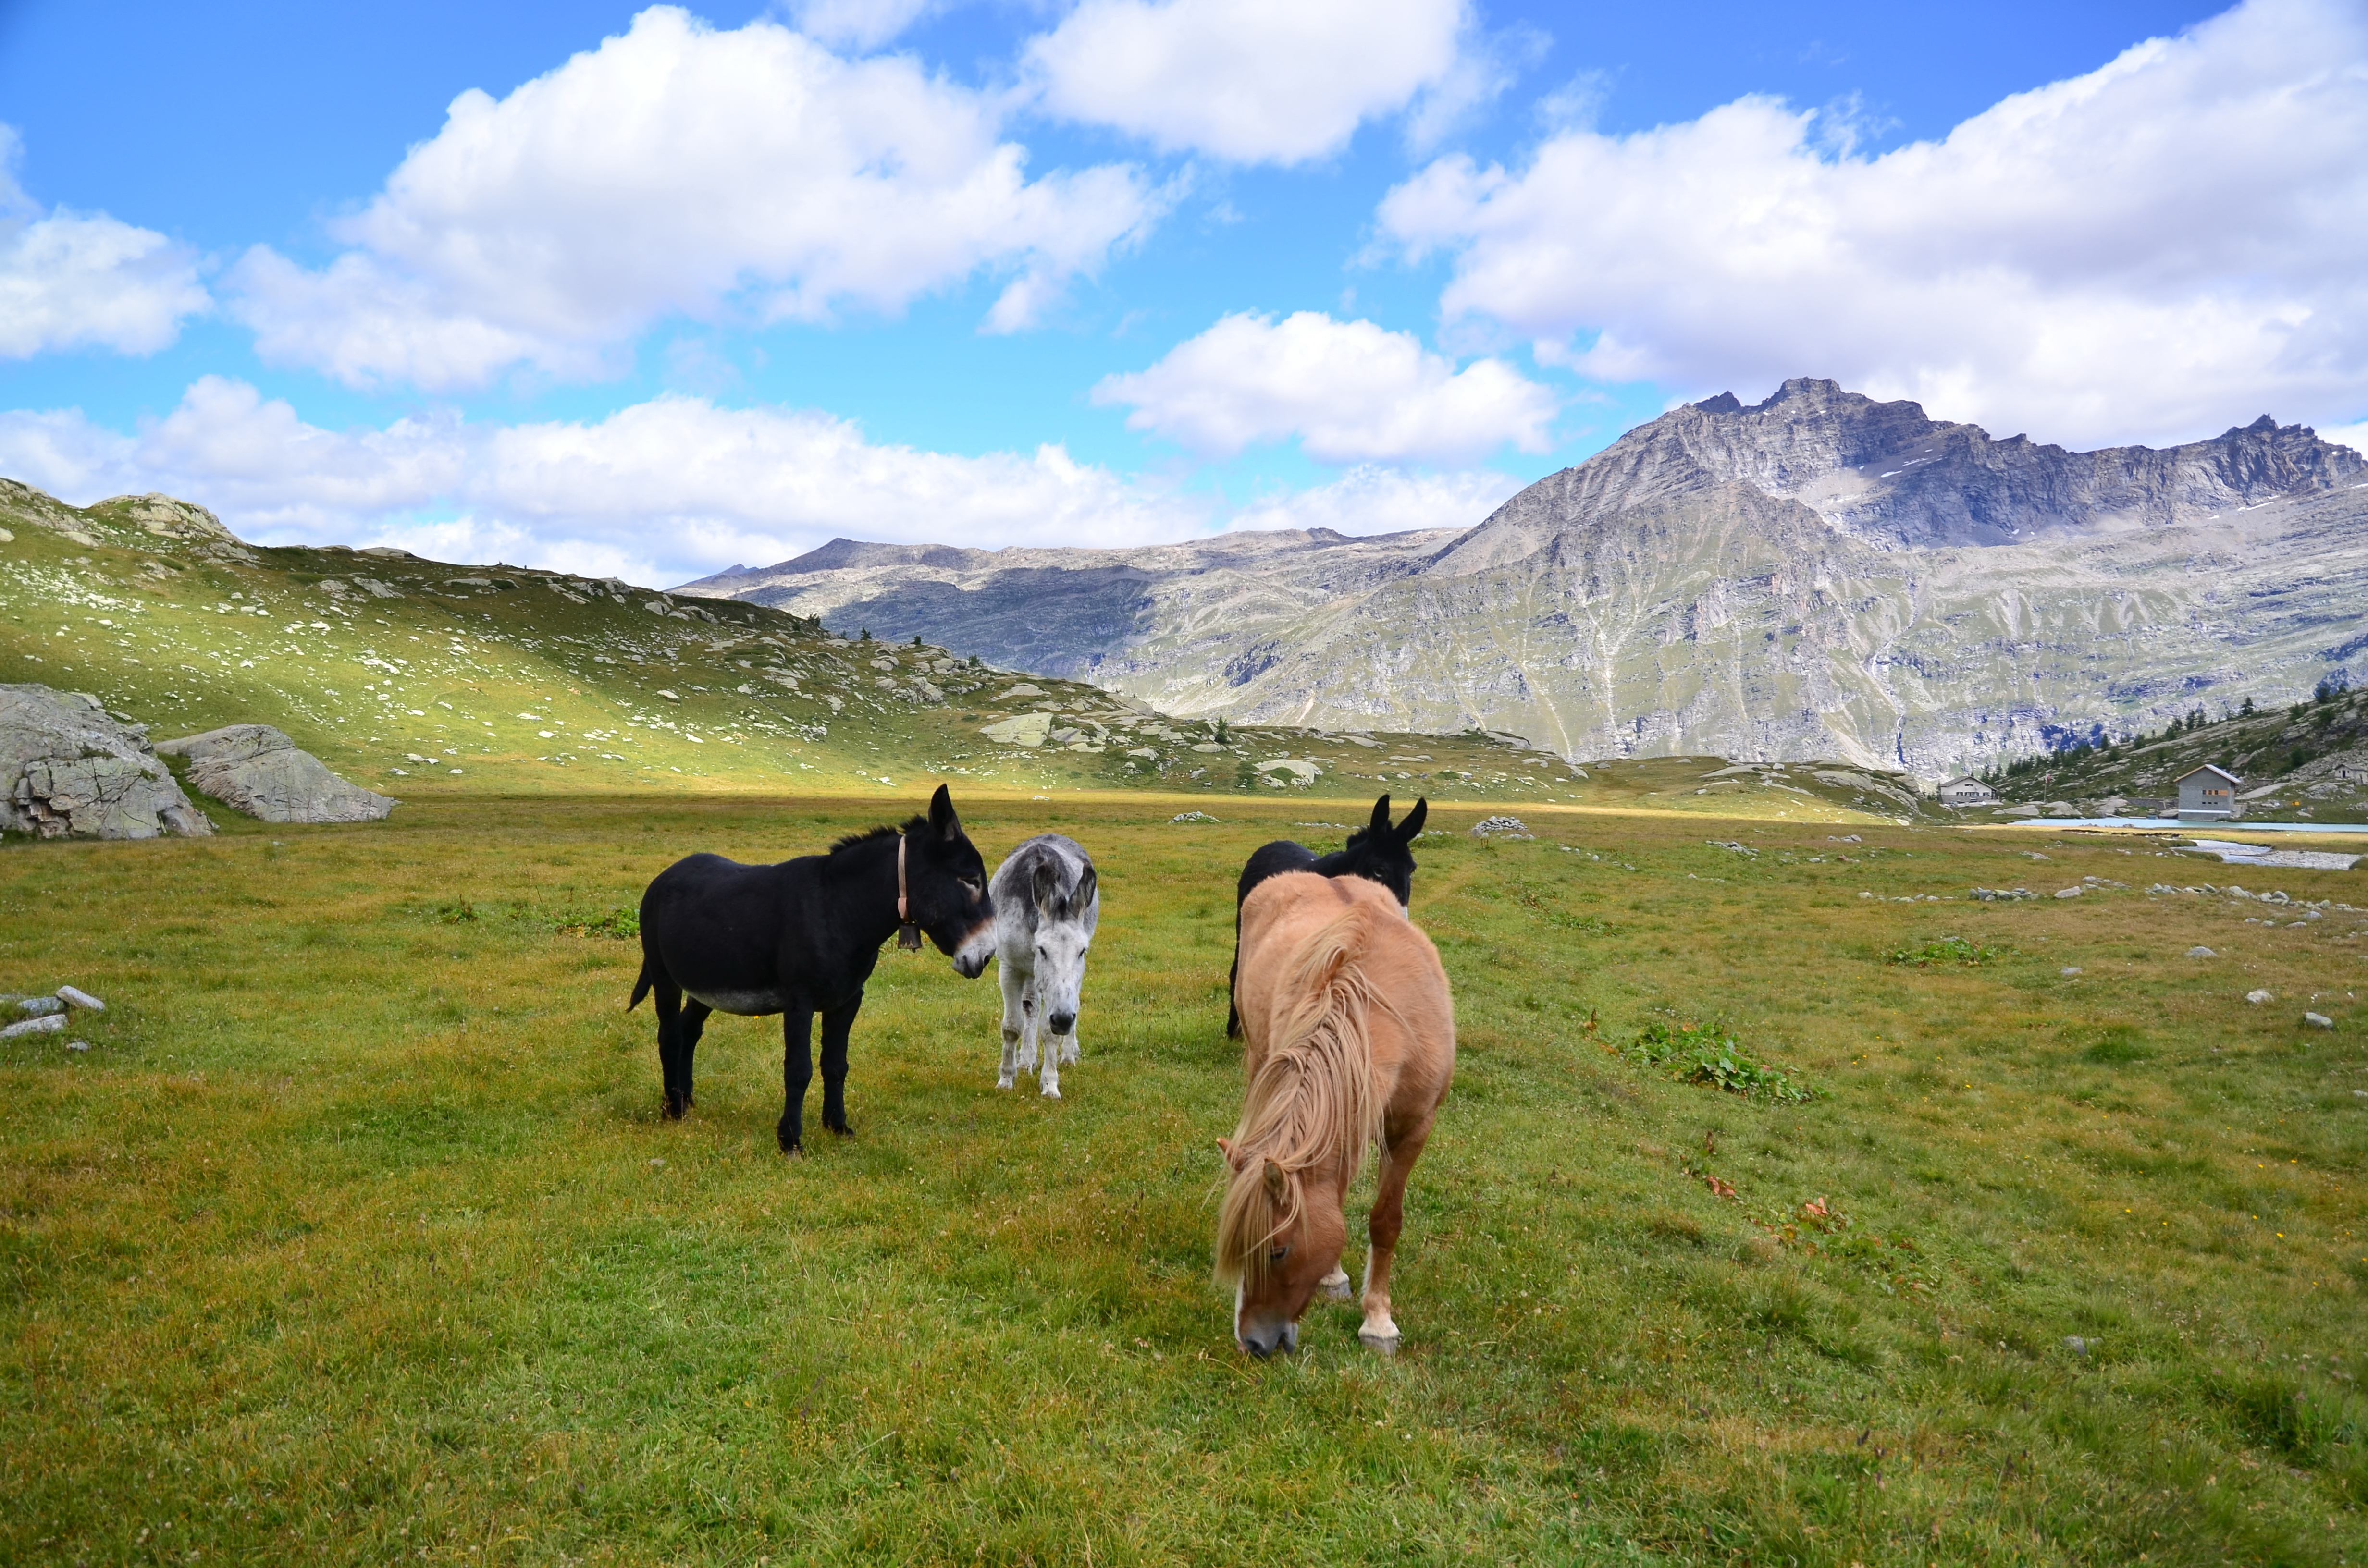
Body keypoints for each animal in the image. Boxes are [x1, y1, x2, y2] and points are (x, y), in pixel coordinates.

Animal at [629, 784, 996, 1154]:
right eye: (971, 880)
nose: (988, 956)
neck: (839, 908)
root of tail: (666, 875)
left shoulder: (848, 999)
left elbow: (836, 1065)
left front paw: (837, 1126)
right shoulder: (799, 1000)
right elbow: (798, 1069)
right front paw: (791, 1140)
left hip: (705, 982)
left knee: (689, 1030)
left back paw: (686, 1100)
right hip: (664, 976)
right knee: (670, 1036)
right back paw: (672, 1109)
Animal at [988, 834, 1100, 1098]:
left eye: (1082, 951)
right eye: (1043, 950)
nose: (1063, 1021)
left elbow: (1049, 1032)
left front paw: (1050, 1085)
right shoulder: (1009, 968)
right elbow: (1012, 1027)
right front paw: (1006, 1079)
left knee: (1071, 1004)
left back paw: (1068, 1056)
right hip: (1030, 973)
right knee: (1030, 1005)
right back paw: (1026, 1060)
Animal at [1216, 870, 1455, 1357]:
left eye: (1278, 1251)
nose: (1251, 1342)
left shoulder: (1413, 1130)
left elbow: (1386, 1221)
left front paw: (1378, 1322)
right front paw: (1337, 1281)